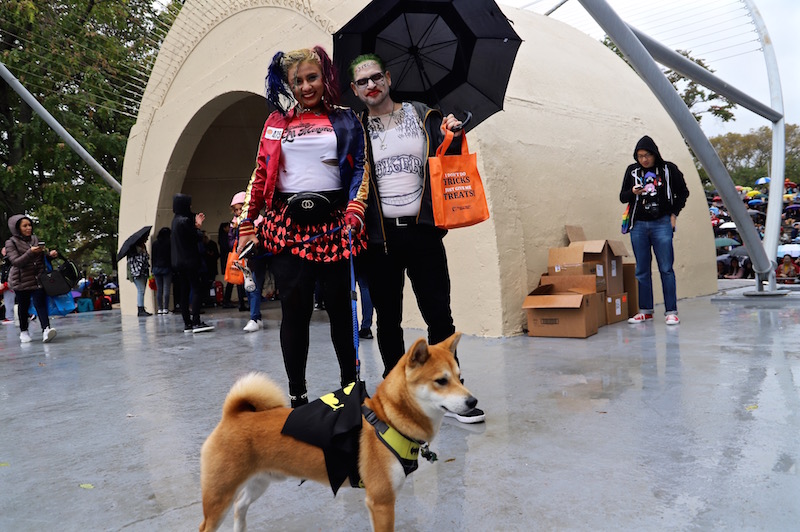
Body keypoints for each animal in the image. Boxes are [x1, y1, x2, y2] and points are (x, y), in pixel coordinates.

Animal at [199, 334, 476, 528]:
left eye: (460, 377)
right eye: (441, 381)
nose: (472, 401)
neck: (388, 421)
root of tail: (233, 415)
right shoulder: (381, 502)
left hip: (260, 481)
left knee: (240, 506)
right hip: (219, 496)